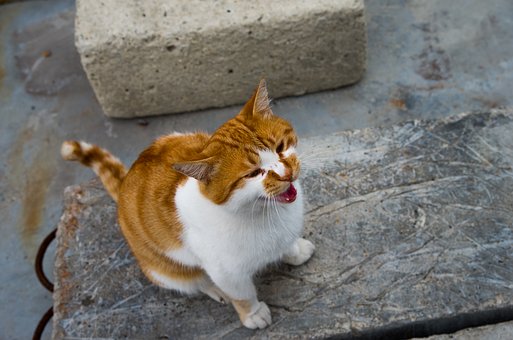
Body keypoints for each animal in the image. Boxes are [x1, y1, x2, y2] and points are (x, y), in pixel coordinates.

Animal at [61, 79, 314, 330]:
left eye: (280, 147)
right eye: (253, 174)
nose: (287, 174)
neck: (264, 213)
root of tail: (125, 183)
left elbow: (286, 244)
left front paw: (294, 250)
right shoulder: (227, 272)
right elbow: (242, 295)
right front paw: (253, 313)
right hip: (163, 271)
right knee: (193, 280)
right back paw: (213, 288)